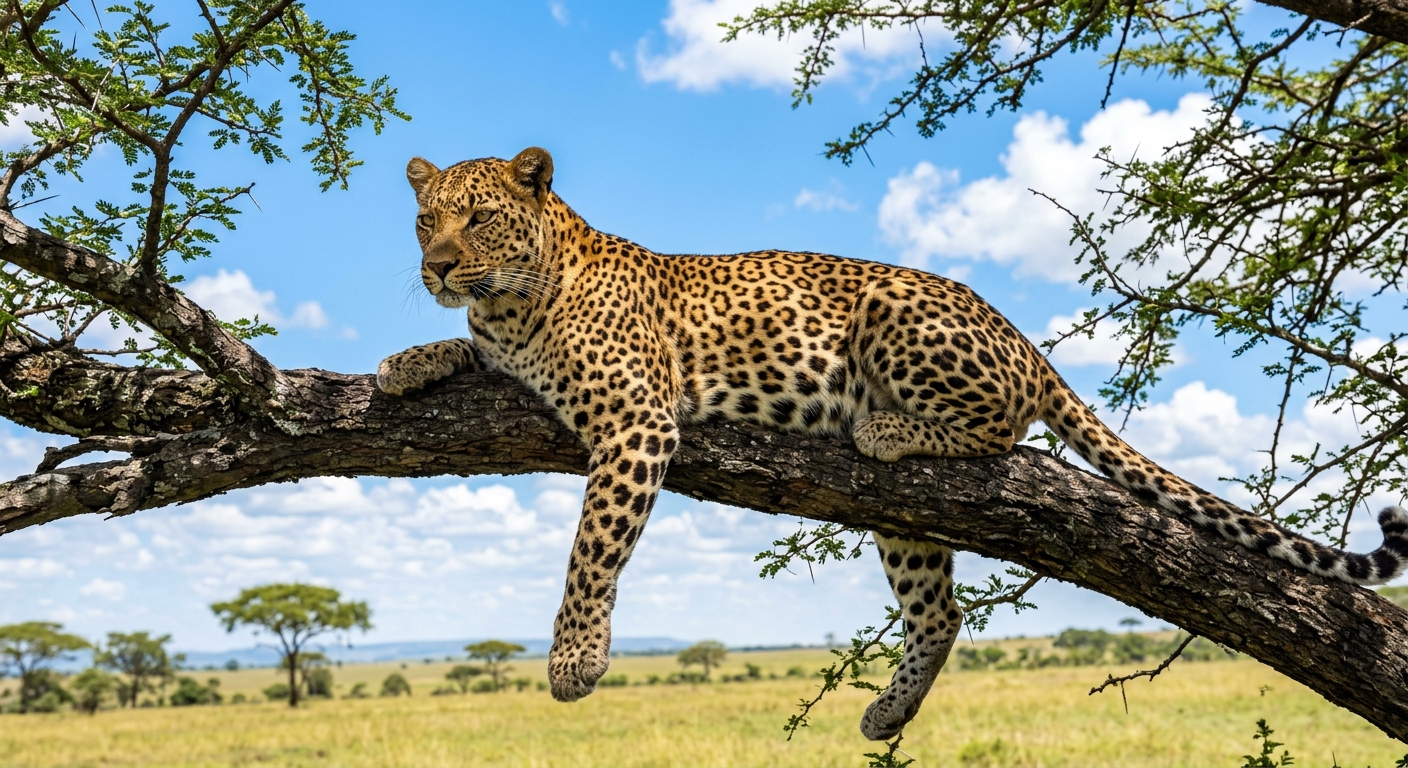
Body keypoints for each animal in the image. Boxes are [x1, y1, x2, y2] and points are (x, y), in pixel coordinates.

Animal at [377, 147, 1408, 741]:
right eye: (427, 220)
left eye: (479, 216)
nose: (433, 266)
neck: (517, 301)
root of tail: (1023, 336)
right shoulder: (502, 352)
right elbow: (461, 352)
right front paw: (401, 362)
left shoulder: (636, 419)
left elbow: (591, 551)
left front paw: (574, 660)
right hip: (905, 523)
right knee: (940, 613)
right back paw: (887, 708)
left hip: (893, 317)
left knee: (1001, 425)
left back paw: (879, 421)